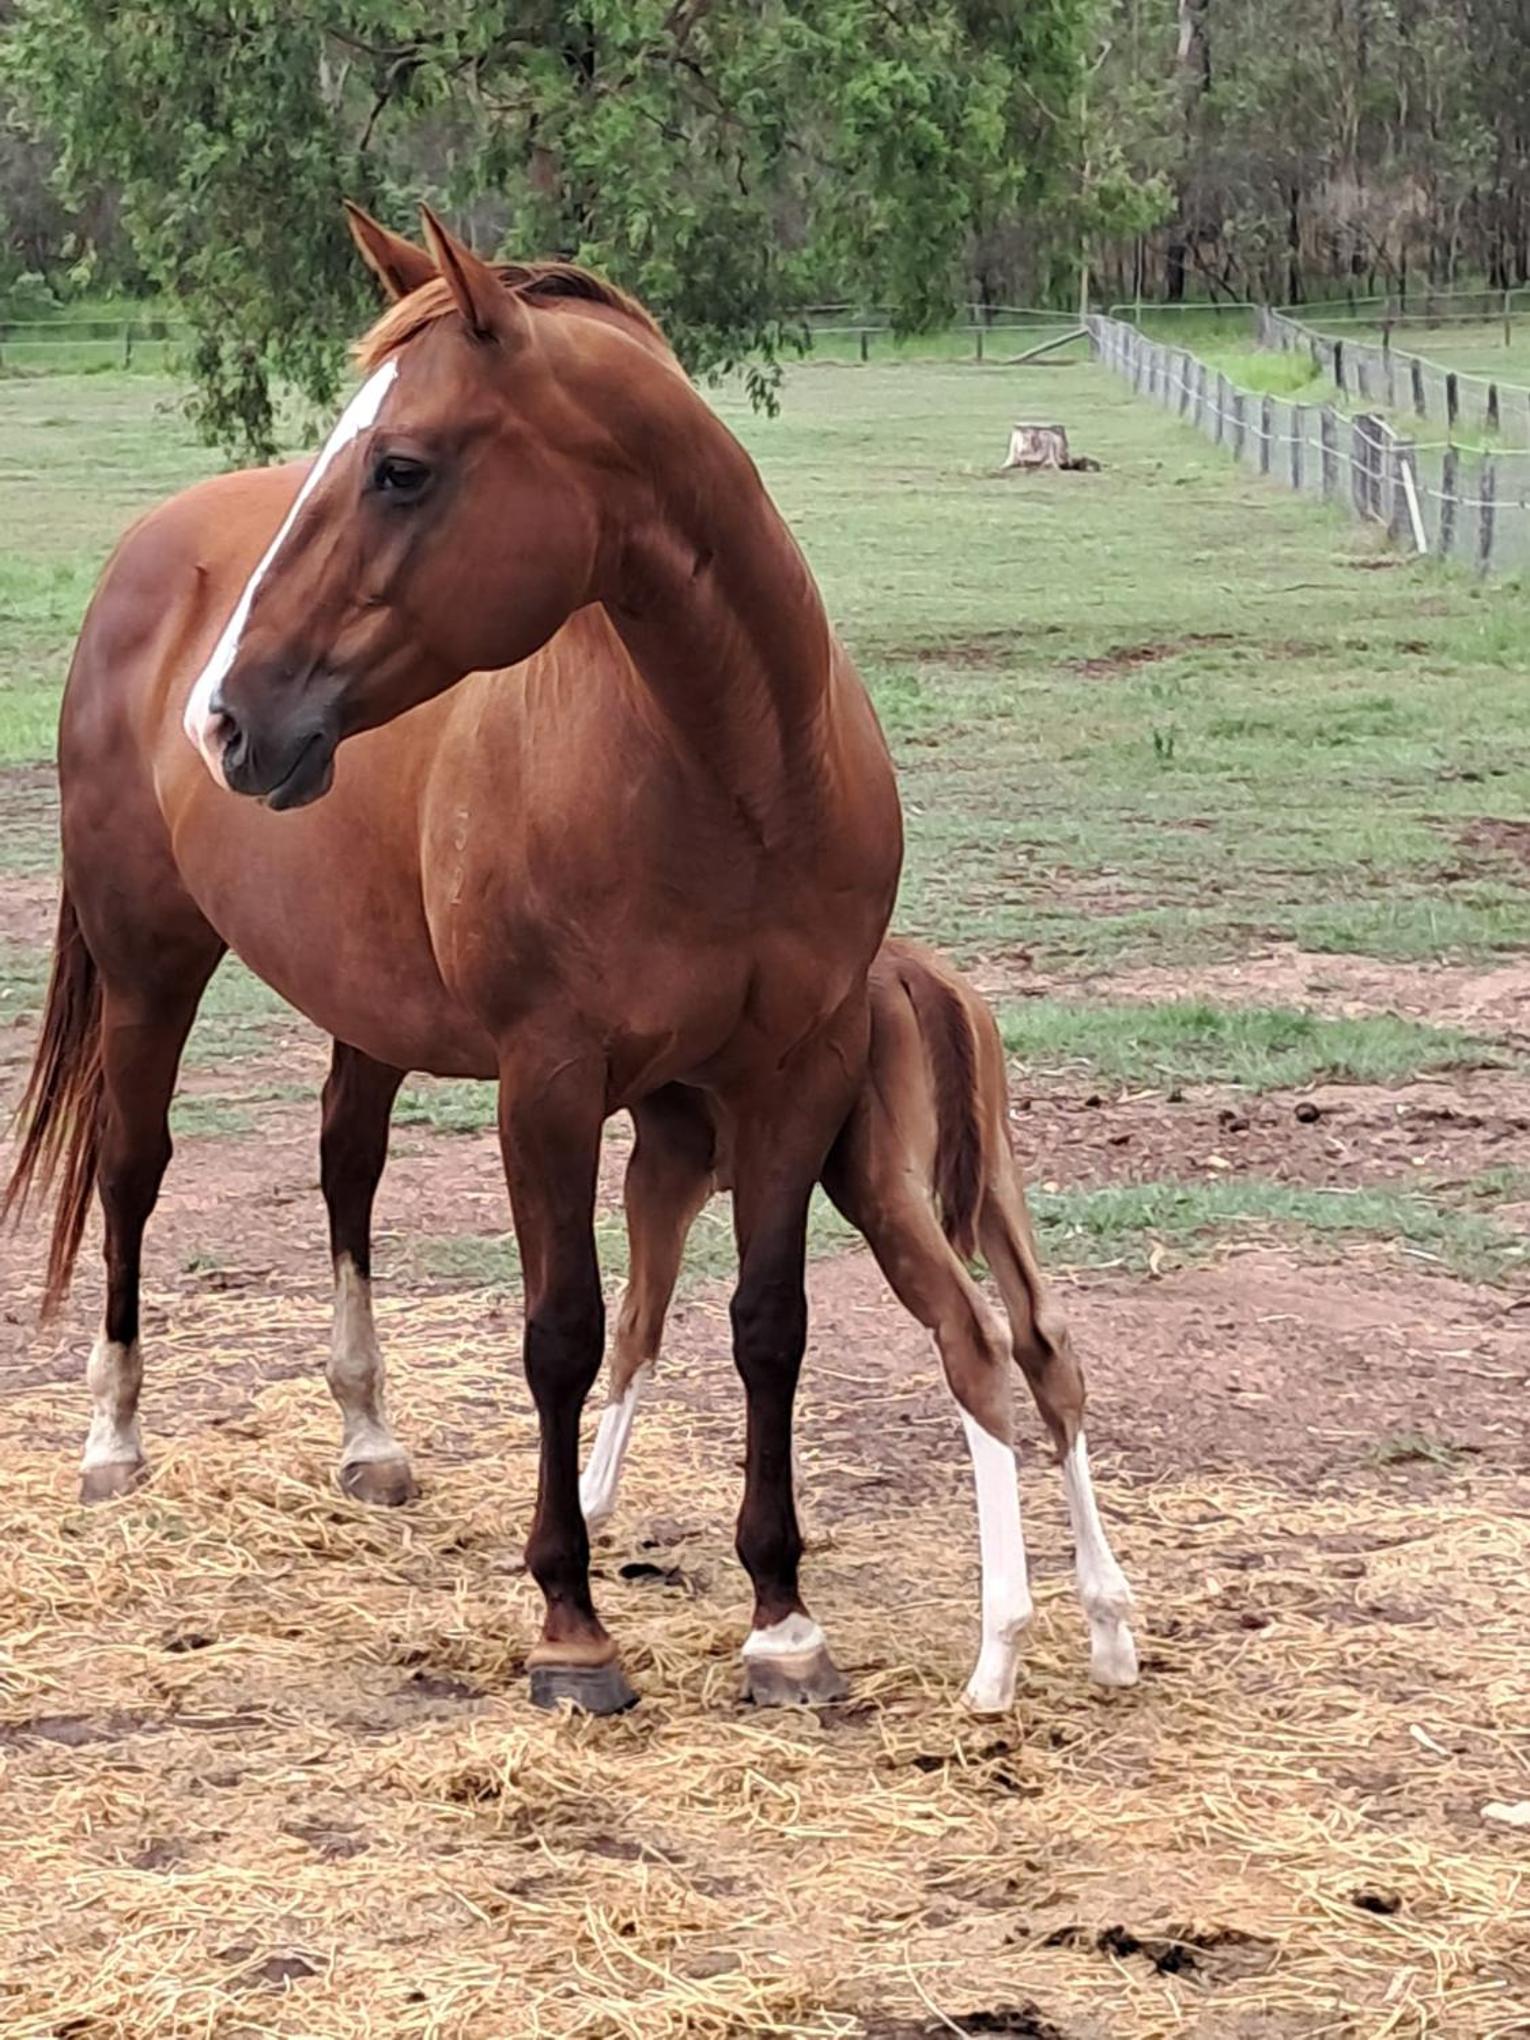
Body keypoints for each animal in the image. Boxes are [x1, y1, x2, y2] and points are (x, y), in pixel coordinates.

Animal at [5, 204, 902, 1715]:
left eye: (402, 468)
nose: (227, 720)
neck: (735, 780)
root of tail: (154, 551)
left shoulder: (798, 1072)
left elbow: (768, 1326)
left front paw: (784, 1622)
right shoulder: (547, 1084)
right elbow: (562, 1333)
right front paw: (571, 1630)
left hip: (356, 1000)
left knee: (344, 1163)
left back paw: (367, 1438)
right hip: (148, 965)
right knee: (132, 1170)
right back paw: (113, 1445)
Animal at [581, 937, 1138, 1713]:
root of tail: (917, 975)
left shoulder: (668, 1164)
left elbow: (638, 1322)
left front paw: (586, 1503)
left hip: (880, 1185)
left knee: (974, 1337)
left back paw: (997, 1658)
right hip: (996, 1171)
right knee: (1044, 1338)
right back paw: (1109, 1630)